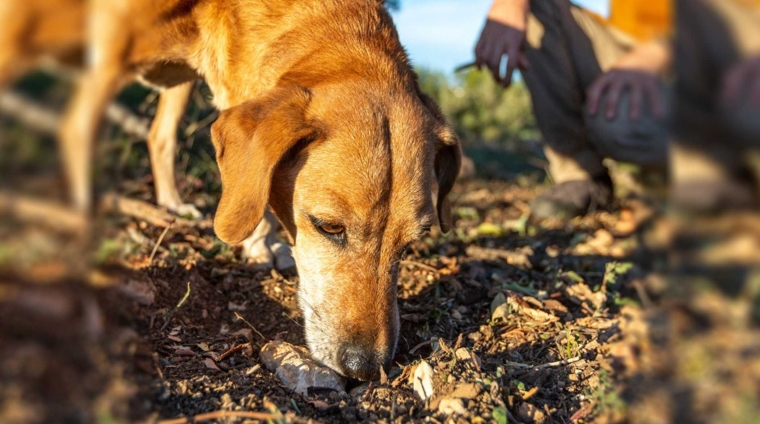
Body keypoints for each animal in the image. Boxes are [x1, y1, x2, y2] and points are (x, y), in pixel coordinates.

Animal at [1, 0, 464, 378]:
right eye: (328, 226)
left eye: (410, 245)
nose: (366, 368)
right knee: (86, 129)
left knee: (159, 135)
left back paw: (171, 205)